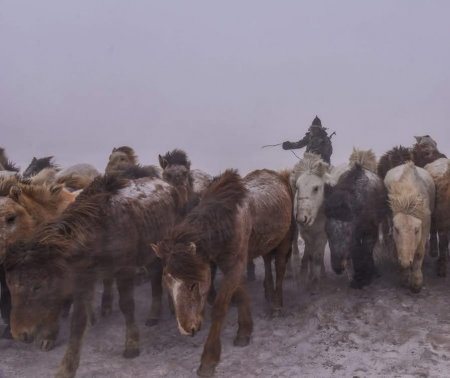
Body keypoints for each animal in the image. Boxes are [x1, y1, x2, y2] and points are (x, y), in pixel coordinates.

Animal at [4, 174, 181, 378]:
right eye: (9, 285)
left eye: (38, 286)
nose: (19, 333)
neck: (99, 233)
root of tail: (166, 184)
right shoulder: (84, 281)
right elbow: (78, 323)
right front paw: (66, 368)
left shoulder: (124, 271)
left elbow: (127, 306)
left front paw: (131, 345)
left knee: (160, 276)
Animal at [151, 169, 292, 378]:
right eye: (168, 282)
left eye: (193, 284)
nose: (187, 328)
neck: (226, 222)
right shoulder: (229, 265)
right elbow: (240, 295)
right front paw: (245, 331)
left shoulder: (234, 266)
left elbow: (219, 308)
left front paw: (208, 361)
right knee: (267, 263)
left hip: (284, 241)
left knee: (281, 269)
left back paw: (276, 305)